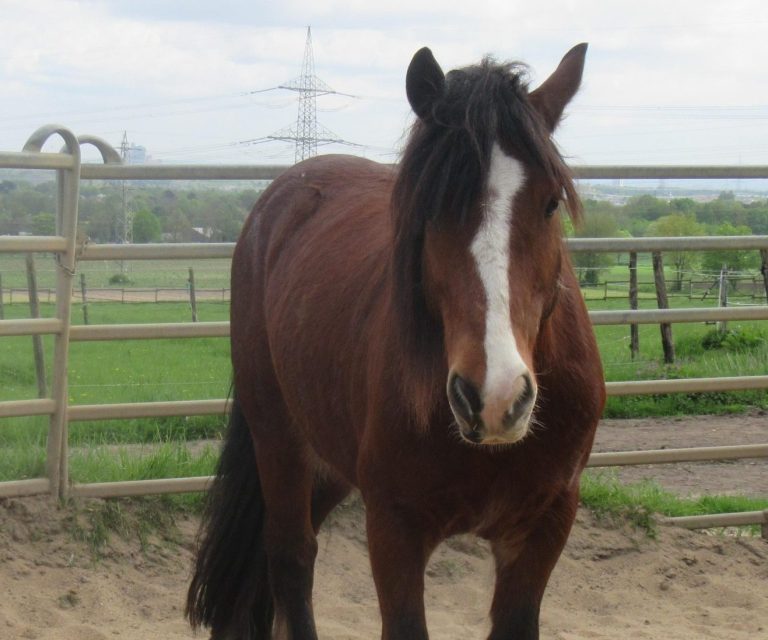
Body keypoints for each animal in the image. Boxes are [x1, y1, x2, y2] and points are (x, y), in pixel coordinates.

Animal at [187, 42, 605, 640]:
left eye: (549, 204)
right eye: (433, 205)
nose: (494, 397)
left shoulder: (544, 525)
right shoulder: (394, 527)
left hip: (328, 458)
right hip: (278, 440)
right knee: (291, 557)